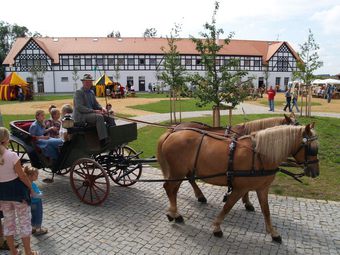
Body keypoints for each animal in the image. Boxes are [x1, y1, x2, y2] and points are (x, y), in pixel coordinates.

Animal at [157, 124, 318, 242]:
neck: (259, 154)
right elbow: (227, 206)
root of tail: (172, 133)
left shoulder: (262, 188)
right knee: (170, 188)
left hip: (180, 172)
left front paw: (273, 233)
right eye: (312, 149)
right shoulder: (240, 188)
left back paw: (176, 212)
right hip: (177, 172)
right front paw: (217, 227)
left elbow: (266, 210)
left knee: (174, 189)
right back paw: (174, 213)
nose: (316, 172)